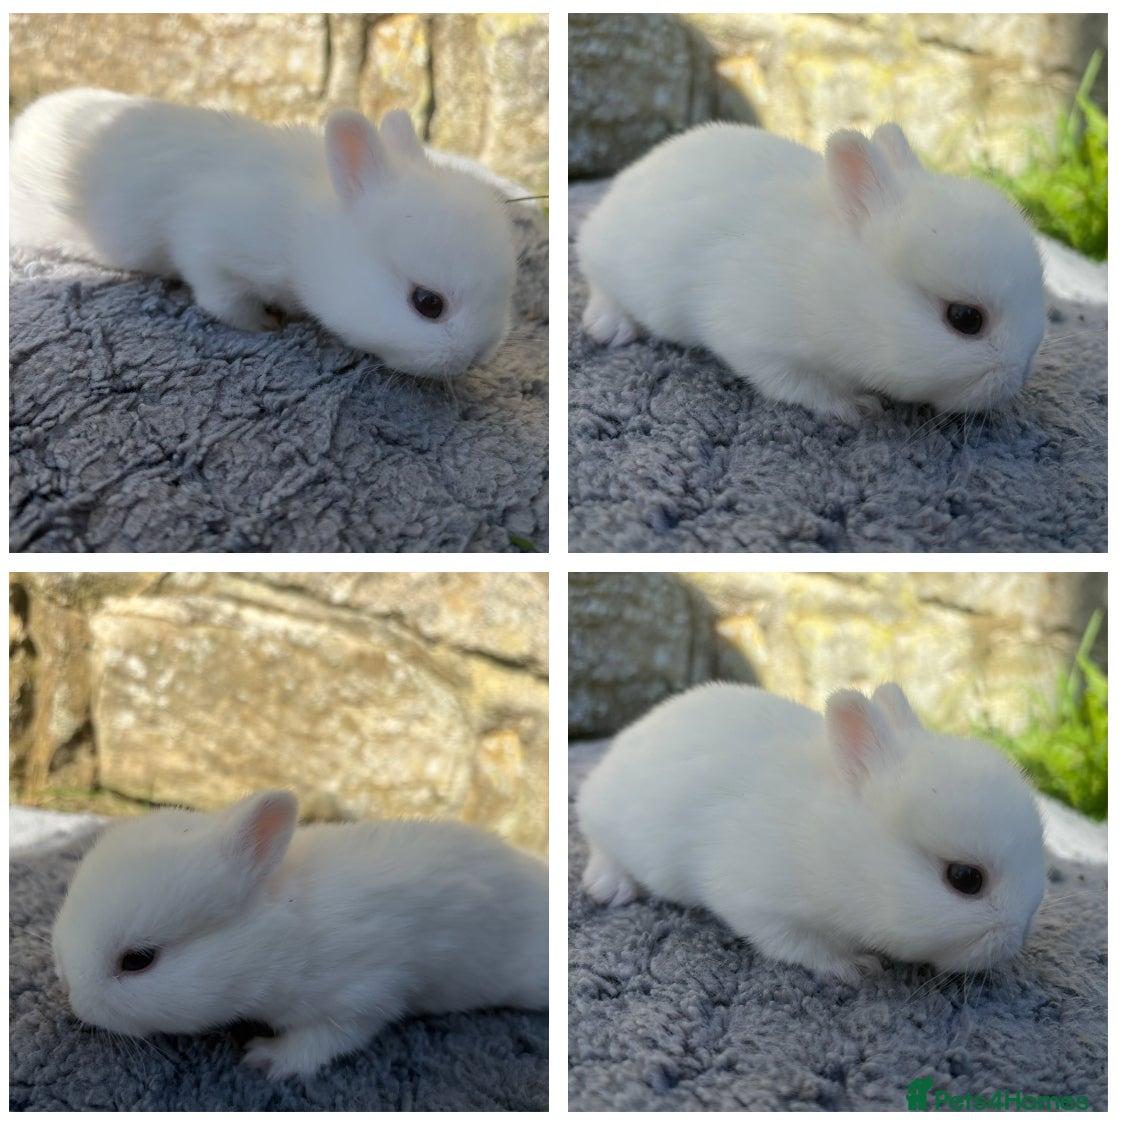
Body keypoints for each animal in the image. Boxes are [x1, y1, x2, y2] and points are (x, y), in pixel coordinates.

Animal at [9, 87, 520, 379]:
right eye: (428, 303)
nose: (479, 357)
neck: (305, 229)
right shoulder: (207, 244)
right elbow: (222, 299)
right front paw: (265, 325)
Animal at [51, 790, 548, 1080]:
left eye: (139, 959)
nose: (73, 998)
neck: (282, 935)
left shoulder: (366, 991)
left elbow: (327, 1040)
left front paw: (266, 1059)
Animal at [577, 121, 1046, 422]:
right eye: (965, 319)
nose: (1021, 373)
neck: (836, 284)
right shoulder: (757, 343)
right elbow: (799, 384)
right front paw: (856, 407)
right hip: (609, 259)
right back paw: (610, 326)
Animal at [577, 682, 1045, 981]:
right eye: (965, 879)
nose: (1020, 936)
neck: (838, 845)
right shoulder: (758, 903)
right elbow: (798, 945)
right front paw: (855, 967)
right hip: (609, 820)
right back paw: (610, 886)